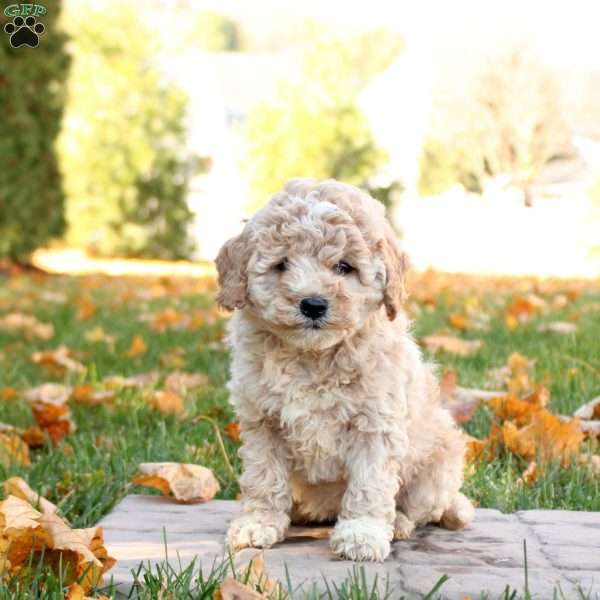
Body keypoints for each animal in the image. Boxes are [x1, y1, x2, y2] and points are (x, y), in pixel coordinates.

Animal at [216, 178, 474, 564]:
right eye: (282, 264)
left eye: (344, 267)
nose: (313, 304)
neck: (313, 356)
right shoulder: (262, 422)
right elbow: (264, 477)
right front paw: (258, 522)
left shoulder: (375, 424)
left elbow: (369, 484)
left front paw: (362, 534)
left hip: (435, 467)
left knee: (420, 509)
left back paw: (398, 523)